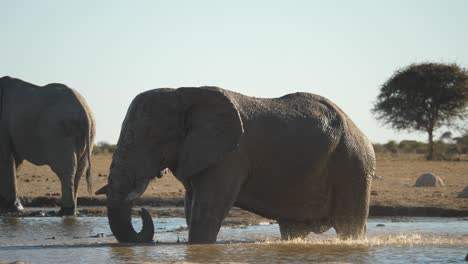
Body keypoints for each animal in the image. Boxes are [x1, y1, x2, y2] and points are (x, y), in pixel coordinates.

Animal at [0, 76, 95, 214]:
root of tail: (84, 110)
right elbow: (15, 161)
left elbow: (6, 159)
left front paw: (13, 208)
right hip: (88, 131)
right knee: (80, 169)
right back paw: (72, 211)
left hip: (57, 130)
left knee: (65, 169)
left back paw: (65, 211)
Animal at [97, 86, 374, 243]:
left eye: (135, 138)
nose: (142, 210)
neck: (183, 94)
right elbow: (191, 207)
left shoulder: (230, 156)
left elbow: (206, 212)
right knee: (293, 229)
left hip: (353, 165)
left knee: (349, 225)